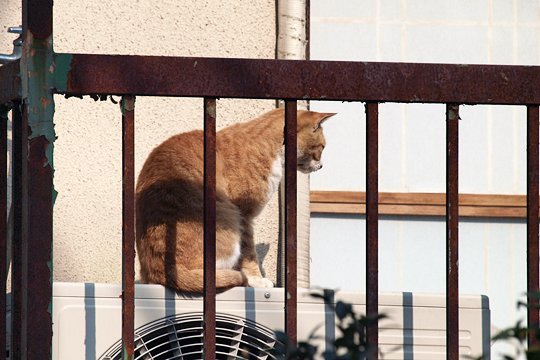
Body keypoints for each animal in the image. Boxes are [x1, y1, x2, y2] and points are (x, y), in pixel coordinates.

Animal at [136, 107, 334, 292]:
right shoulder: (244, 214)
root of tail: (162, 270)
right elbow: (249, 253)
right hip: (229, 225)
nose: (322, 166)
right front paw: (257, 279)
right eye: (322, 147)